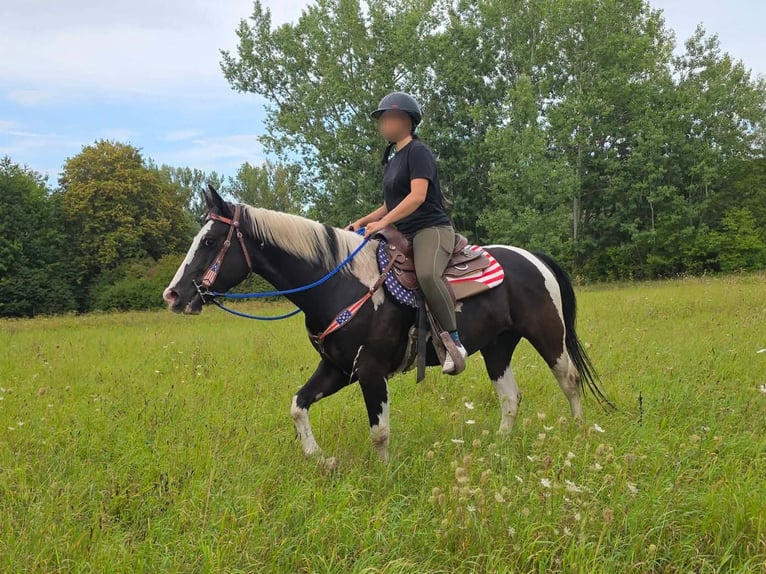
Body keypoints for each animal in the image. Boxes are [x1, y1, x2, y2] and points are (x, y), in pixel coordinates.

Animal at [162, 186, 612, 464]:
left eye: (208, 241)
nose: (173, 295)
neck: (338, 284)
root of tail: (533, 257)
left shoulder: (371, 371)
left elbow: (378, 432)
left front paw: (383, 475)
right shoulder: (338, 368)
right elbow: (297, 405)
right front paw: (320, 459)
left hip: (548, 335)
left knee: (570, 380)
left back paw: (579, 434)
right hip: (498, 346)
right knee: (510, 398)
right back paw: (497, 446)